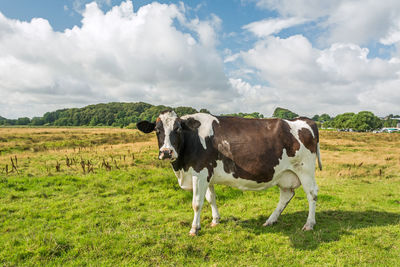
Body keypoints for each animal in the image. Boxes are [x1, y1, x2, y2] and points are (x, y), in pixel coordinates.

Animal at [138, 111, 322, 237]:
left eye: (177, 129)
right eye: (157, 130)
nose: (166, 152)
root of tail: (304, 120)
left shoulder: (199, 172)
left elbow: (197, 203)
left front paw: (194, 228)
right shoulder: (208, 175)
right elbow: (211, 198)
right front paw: (215, 220)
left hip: (304, 169)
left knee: (311, 193)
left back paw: (309, 224)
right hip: (284, 174)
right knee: (286, 195)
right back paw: (270, 220)